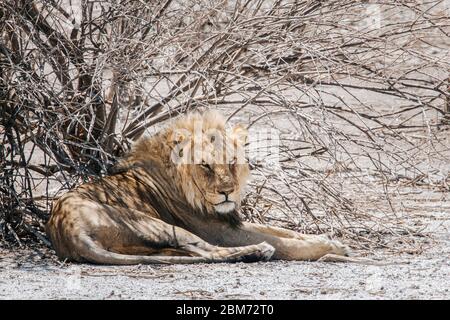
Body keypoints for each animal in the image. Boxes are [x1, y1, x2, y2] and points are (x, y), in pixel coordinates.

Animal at [46, 110, 348, 264]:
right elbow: (283, 241)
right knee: (209, 252)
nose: (227, 191)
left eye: (232, 162)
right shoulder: (219, 231)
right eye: (205, 166)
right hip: (157, 224)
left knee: (191, 253)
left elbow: (284, 231)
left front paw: (329, 240)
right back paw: (258, 251)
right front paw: (331, 248)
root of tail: (67, 232)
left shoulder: (229, 220)